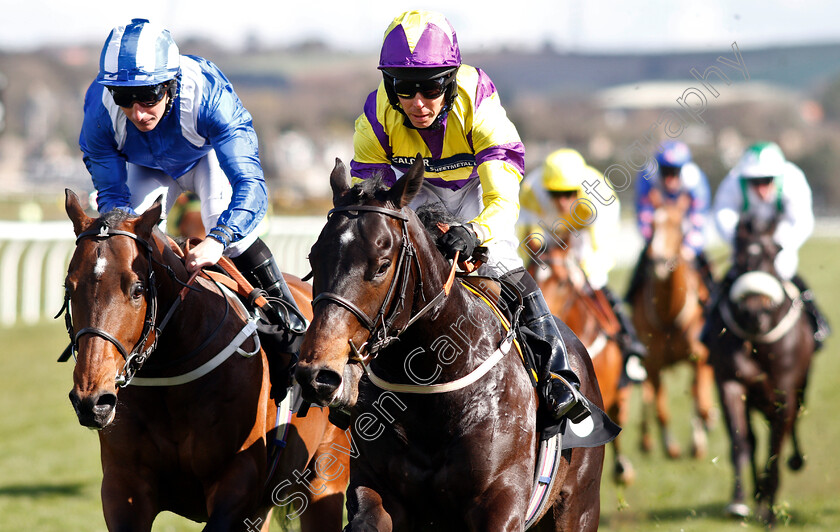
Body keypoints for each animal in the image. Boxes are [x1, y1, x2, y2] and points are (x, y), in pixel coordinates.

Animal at [60, 189, 348, 528]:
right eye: (69, 287)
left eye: (137, 288)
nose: (92, 400)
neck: (169, 381)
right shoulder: (123, 485)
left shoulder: (238, 482)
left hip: (326, 475)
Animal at [298, 159, 608, 532]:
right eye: (313, 258)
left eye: (383, 265)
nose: (318, 373)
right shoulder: (375, 487)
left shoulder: (501, 503)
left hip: (578, 505)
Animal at [632, 193, 716, 460]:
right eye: (653, 225)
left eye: (679, 225)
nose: (657, 259)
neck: (669, 314)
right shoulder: (653, 362)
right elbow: (661, 409)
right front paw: (671, 447)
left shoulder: (700, 355)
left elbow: (699, 402)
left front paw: (699, 443)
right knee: (648, 395)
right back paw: (646, 440)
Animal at [704, 213, 816, 524]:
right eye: (739, 254)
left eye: (774, 251)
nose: (755, 312)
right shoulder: (730, 383)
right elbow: (741, 442)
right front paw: (739, 502)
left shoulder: (784, 394)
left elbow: (775, 448)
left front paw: (770, 513)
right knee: (754, 441)